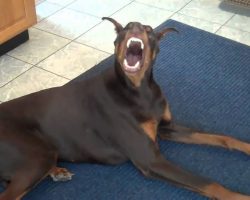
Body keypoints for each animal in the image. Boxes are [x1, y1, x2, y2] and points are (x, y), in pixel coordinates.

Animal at [0, 18, 250, 199]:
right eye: (127, 27)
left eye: (149, 30)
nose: (136, 27)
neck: (139, 91)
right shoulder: (150, 160)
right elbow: (208, 183)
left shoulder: (166, 128)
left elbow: (220, 137)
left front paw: (245, 146)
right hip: (37, 155)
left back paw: (58, 171)